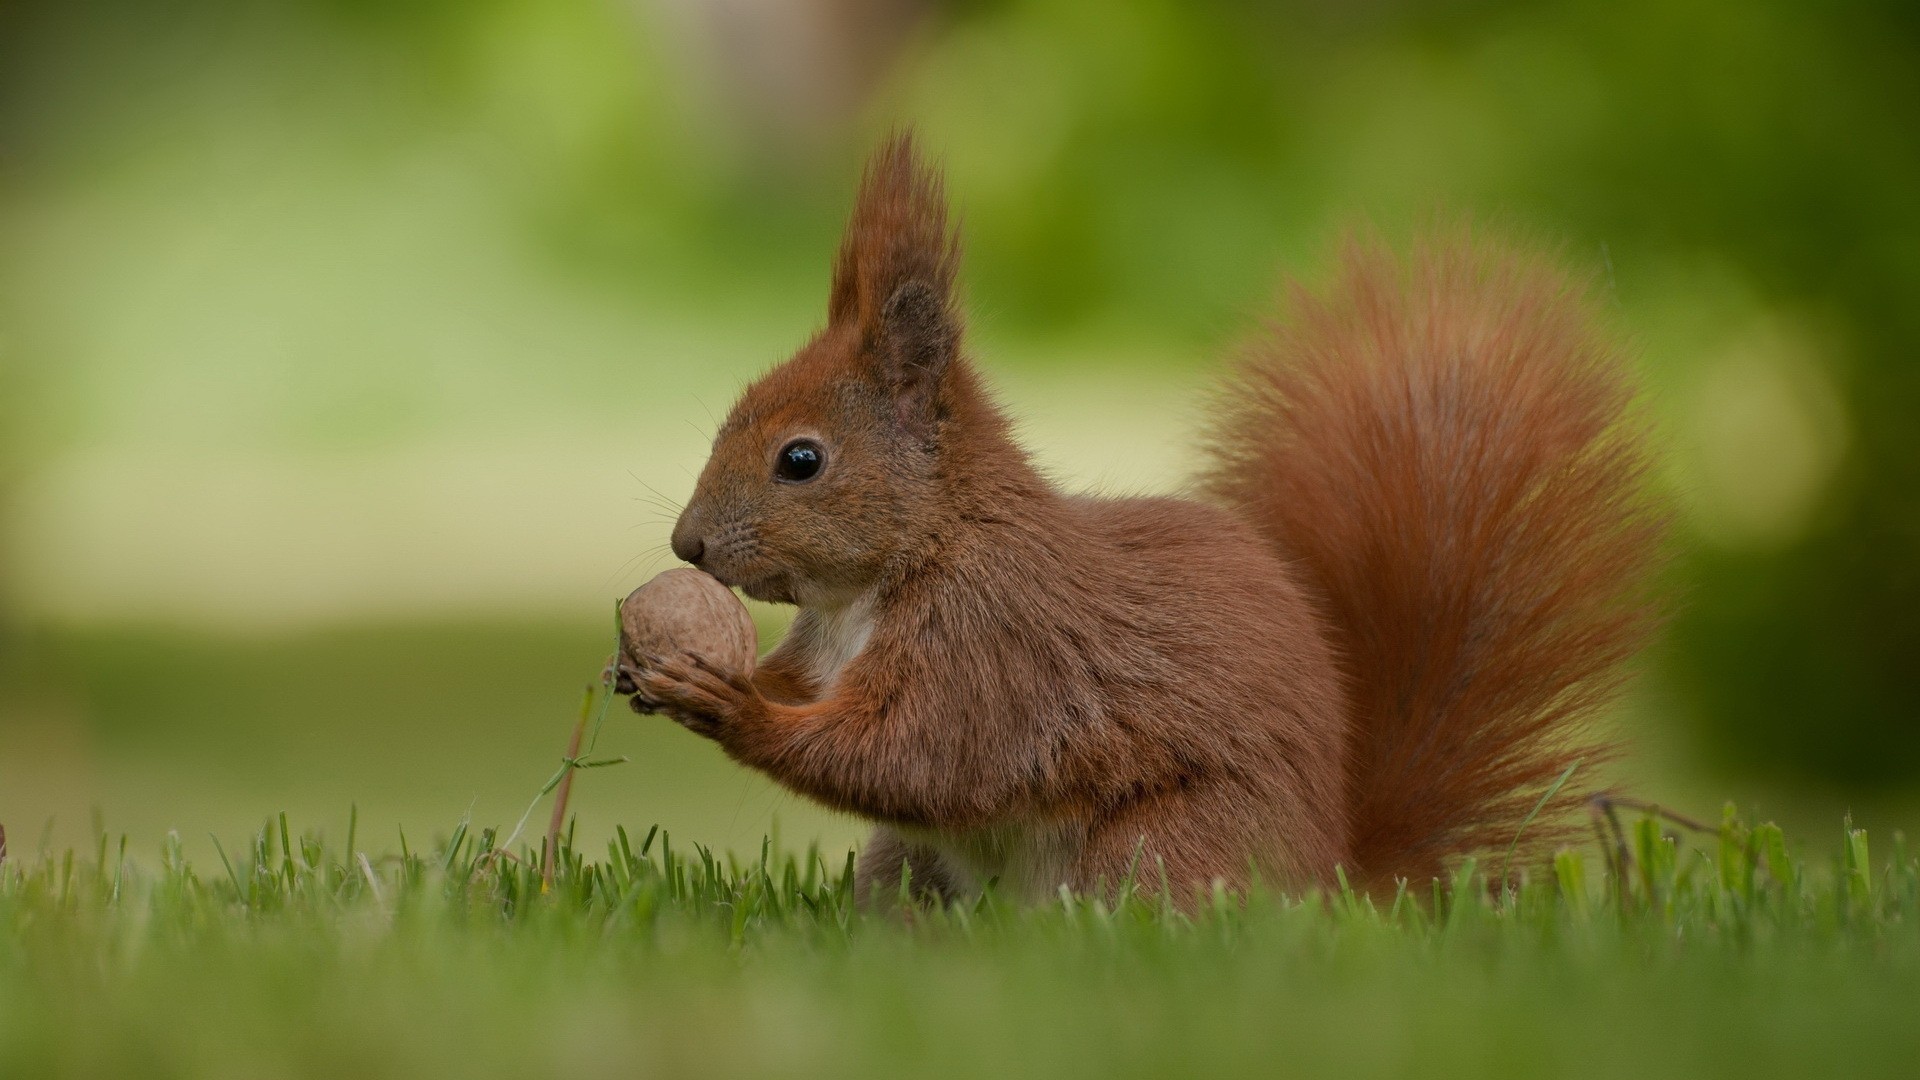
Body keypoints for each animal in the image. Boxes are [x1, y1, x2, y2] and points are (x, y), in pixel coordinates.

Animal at [625, 132, 1666, 899]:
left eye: (801, 460)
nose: (687, 543)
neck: (889, 574)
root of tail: (1330, 878)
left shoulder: (996, 646)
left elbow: (914, 757)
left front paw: (733, 708)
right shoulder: (832, 649)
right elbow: (815, 696)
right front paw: (660, 673)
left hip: (1158, 850)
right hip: (906, 866)